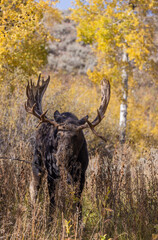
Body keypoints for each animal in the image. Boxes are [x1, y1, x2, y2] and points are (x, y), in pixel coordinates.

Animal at [25, 74, 110, 214]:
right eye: (58, 134)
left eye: (76, 136)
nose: (61, 156)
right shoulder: (51, 174)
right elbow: (52, 204)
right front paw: (49, 220)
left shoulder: (81, 175)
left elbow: (78, 203)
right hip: (37, 161)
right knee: (34, 188)